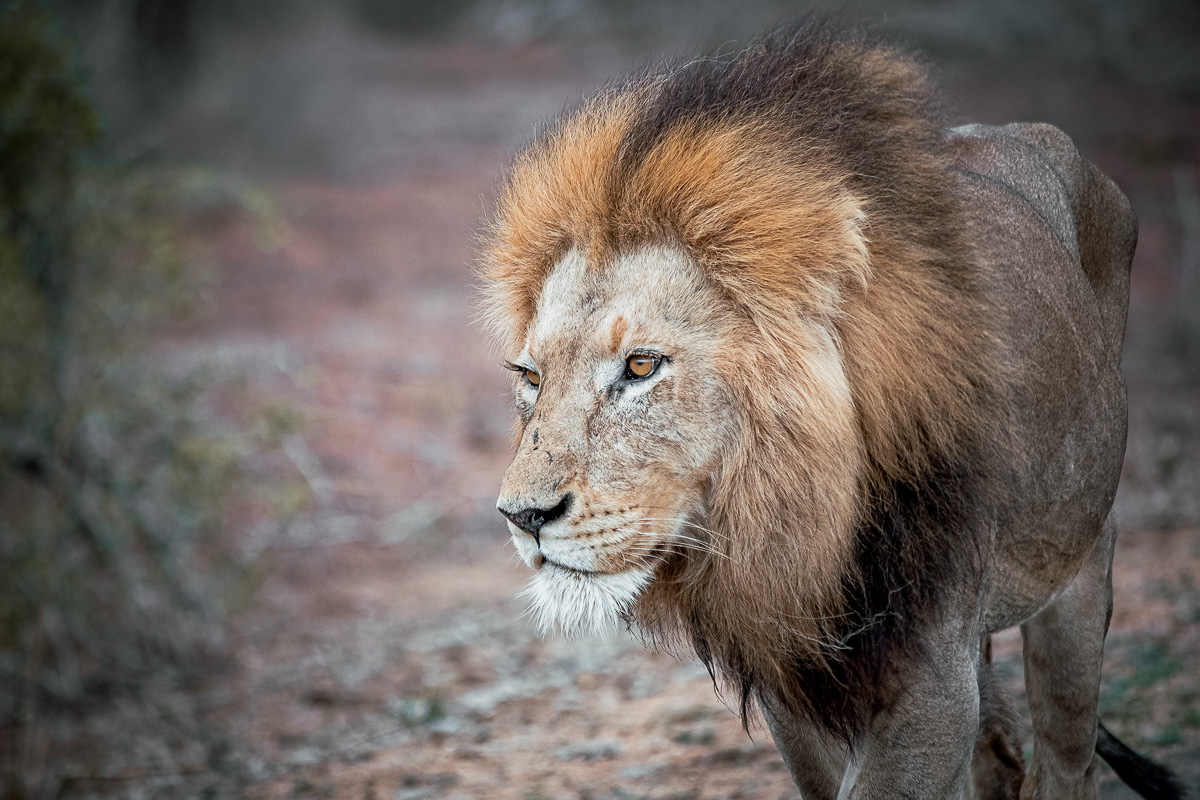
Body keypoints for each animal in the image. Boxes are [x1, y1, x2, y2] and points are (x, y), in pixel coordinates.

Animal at [478, 23, 1184, 800]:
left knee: (1066, 755)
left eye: (640, 366)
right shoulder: (791, 675)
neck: (791, 512)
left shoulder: (931, 677)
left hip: (1080, 566)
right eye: (530, 377)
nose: (523, 517)